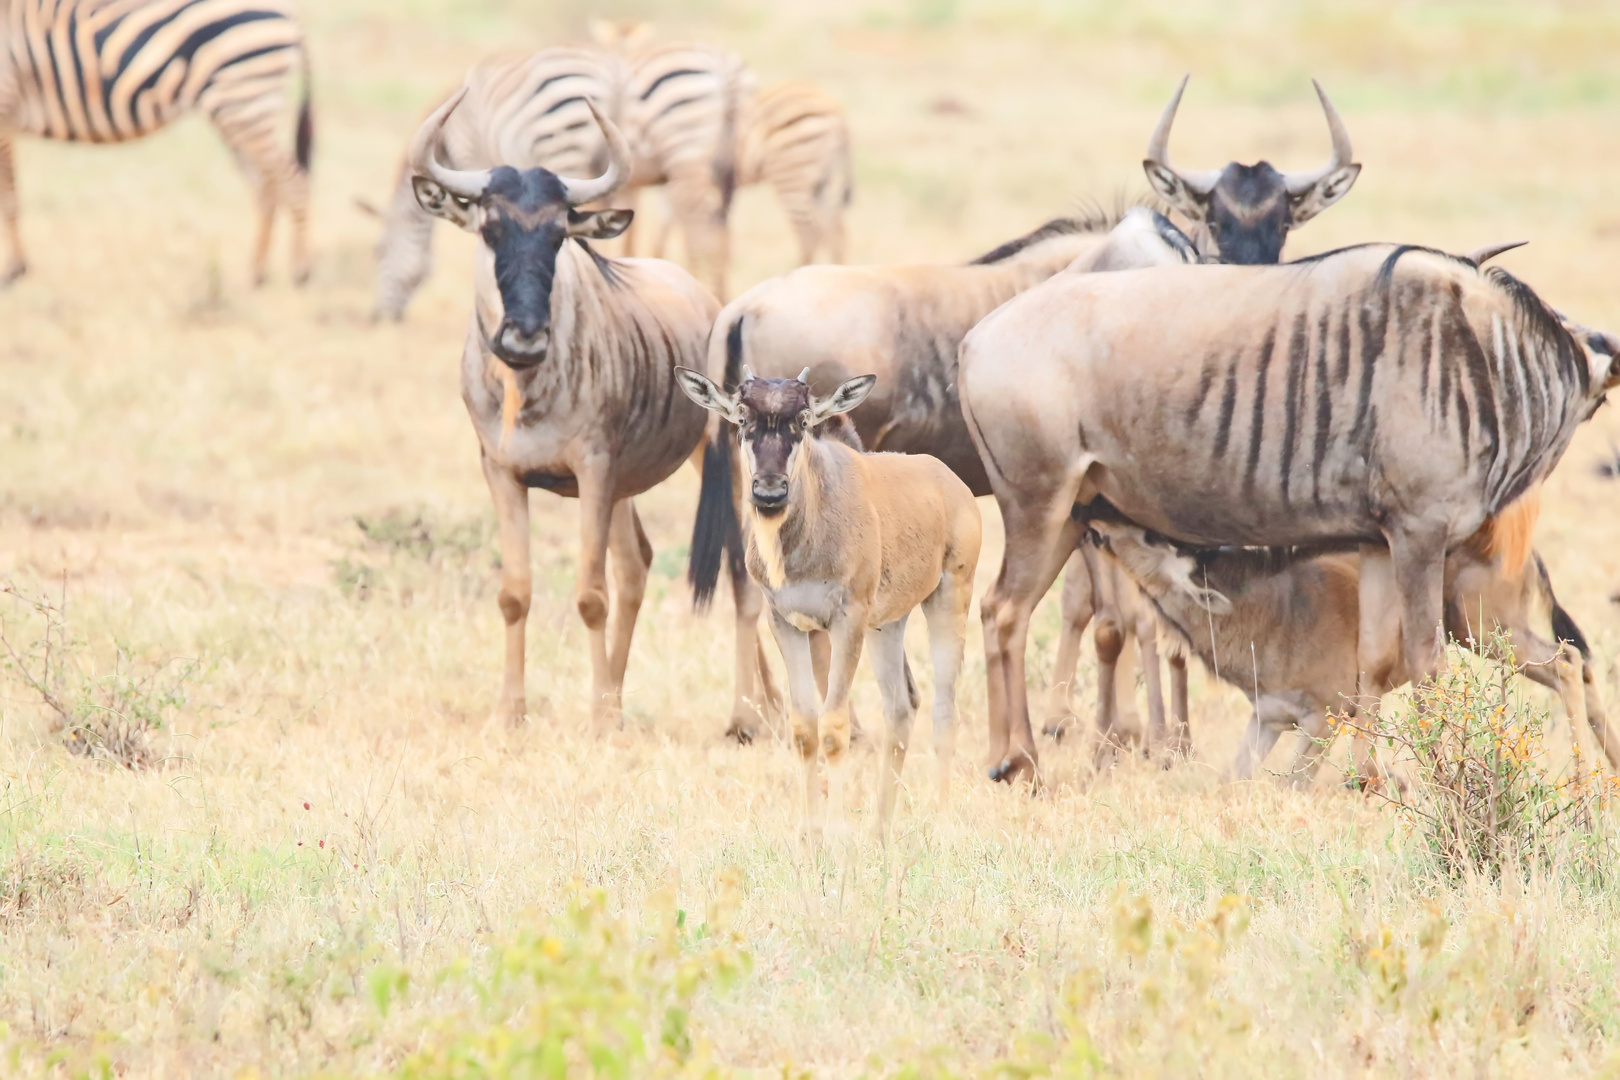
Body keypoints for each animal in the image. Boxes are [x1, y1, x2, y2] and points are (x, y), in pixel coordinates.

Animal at [0, 0, 312, 286]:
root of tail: (291, 11)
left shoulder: (5, 105)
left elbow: (9, 198)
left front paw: (14, 272)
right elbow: (10, 195)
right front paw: (17, 268)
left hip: (246, 99)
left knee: (293, 181)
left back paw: (300, 272)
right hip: (236, 110)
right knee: (265, 186)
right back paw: (257, 275)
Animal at [670, 367, 972, 841]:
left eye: (803, 420)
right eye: (742, 418)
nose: (769, 493)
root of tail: (951, 483)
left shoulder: (847, 620)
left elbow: (834, 727)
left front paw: (836, 834)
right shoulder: (786, 622)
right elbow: (804, 728)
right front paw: (811, 834)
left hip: (949, 597)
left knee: (944, 708)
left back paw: (940, 826)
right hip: (888, 624)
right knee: (901, 706)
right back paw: (880, 831)